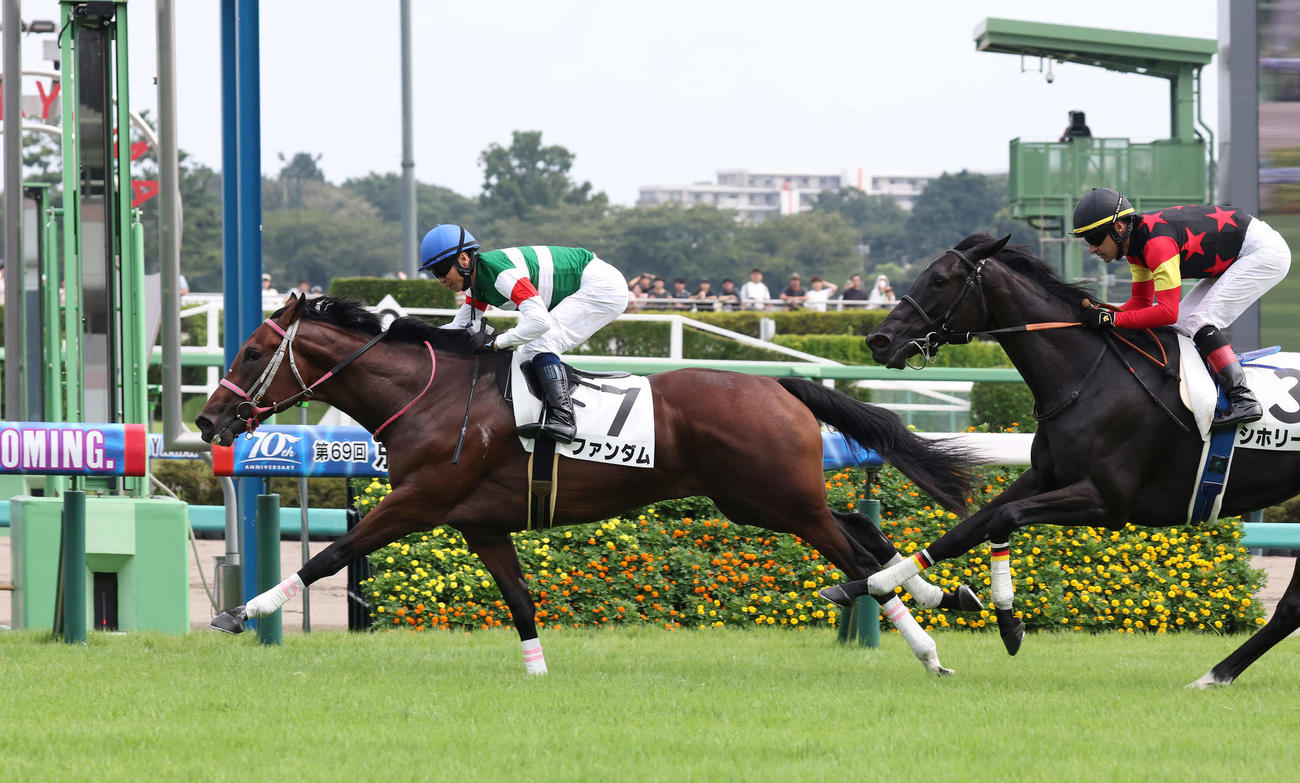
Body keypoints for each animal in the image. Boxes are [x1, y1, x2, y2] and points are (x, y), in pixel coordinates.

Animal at [195, 294, 985, 676]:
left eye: (255, 351)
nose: (207, 419)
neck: (431, 395)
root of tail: (779, 385)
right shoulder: (481, 522)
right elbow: (518, 599)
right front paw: (538, 673)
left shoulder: (419, 500)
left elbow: (330, 555)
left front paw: (240, 613)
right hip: (757, 501)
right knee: (862, 527)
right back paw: (946, 593)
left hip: (776, 500)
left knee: (853, 556)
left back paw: (929, 649)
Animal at [824, 232, 1300, 687]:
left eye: (939, 280)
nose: (879, 340)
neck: (1090, 376)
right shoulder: (1043, 476)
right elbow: (967, 529)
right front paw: (867, 584)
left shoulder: (1108, 502)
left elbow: (1002, 520)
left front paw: (1008, 623)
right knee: (1290, 608)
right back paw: (1217, 675)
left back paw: (1215, 675)